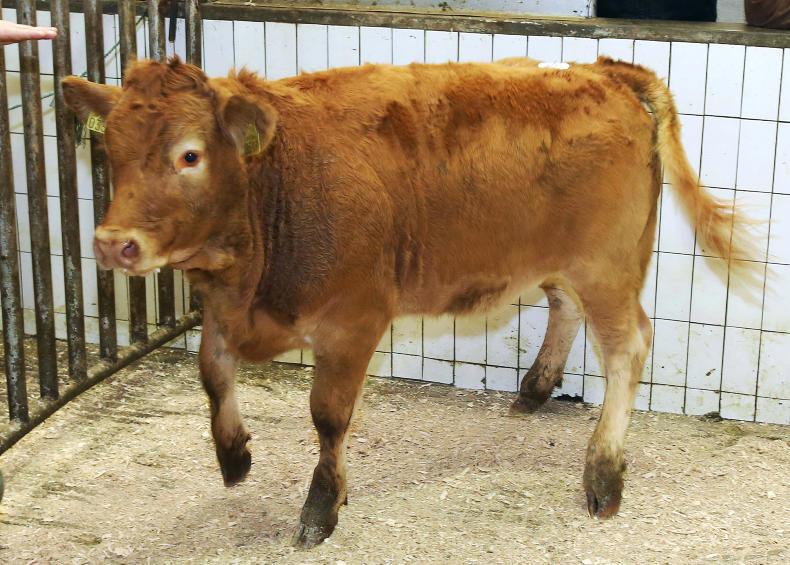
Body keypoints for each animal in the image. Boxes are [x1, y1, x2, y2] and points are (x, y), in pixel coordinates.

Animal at [62, 55, 756, 548]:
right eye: (110, 151)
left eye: (190, 155)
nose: (113, 243)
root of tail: (602, 70)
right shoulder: (227, 311)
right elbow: (211, 371)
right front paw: (234, 455)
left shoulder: (353, 318)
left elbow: (328, 415)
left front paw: (322, 506)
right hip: (554, 257)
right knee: (565, 306)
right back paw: (536, 387)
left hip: (607, 264)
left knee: (626, 348)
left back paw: (604, 475)